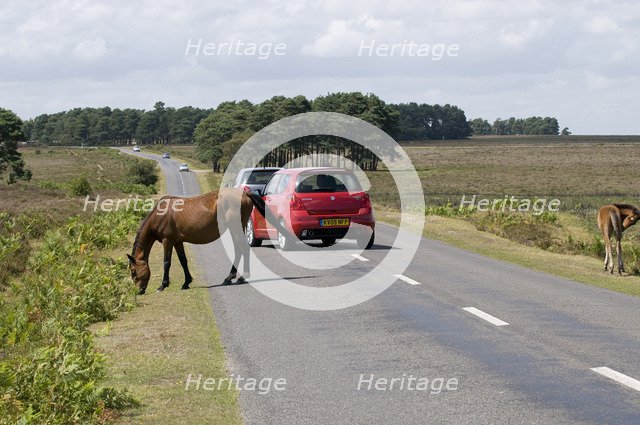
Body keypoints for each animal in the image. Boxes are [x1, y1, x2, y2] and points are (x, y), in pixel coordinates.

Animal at [127, 188, 280, 294]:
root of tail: (245, 193)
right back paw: (230, 278)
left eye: (133, 272)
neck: (161, 213)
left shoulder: (167, 241)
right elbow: (183, 261)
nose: (139, 291)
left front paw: (163, 285)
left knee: (243, 249)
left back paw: (241, 277)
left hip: (236, 228)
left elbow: (166, 263)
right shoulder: (177, 242)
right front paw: (186, 282)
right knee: (239, 250)